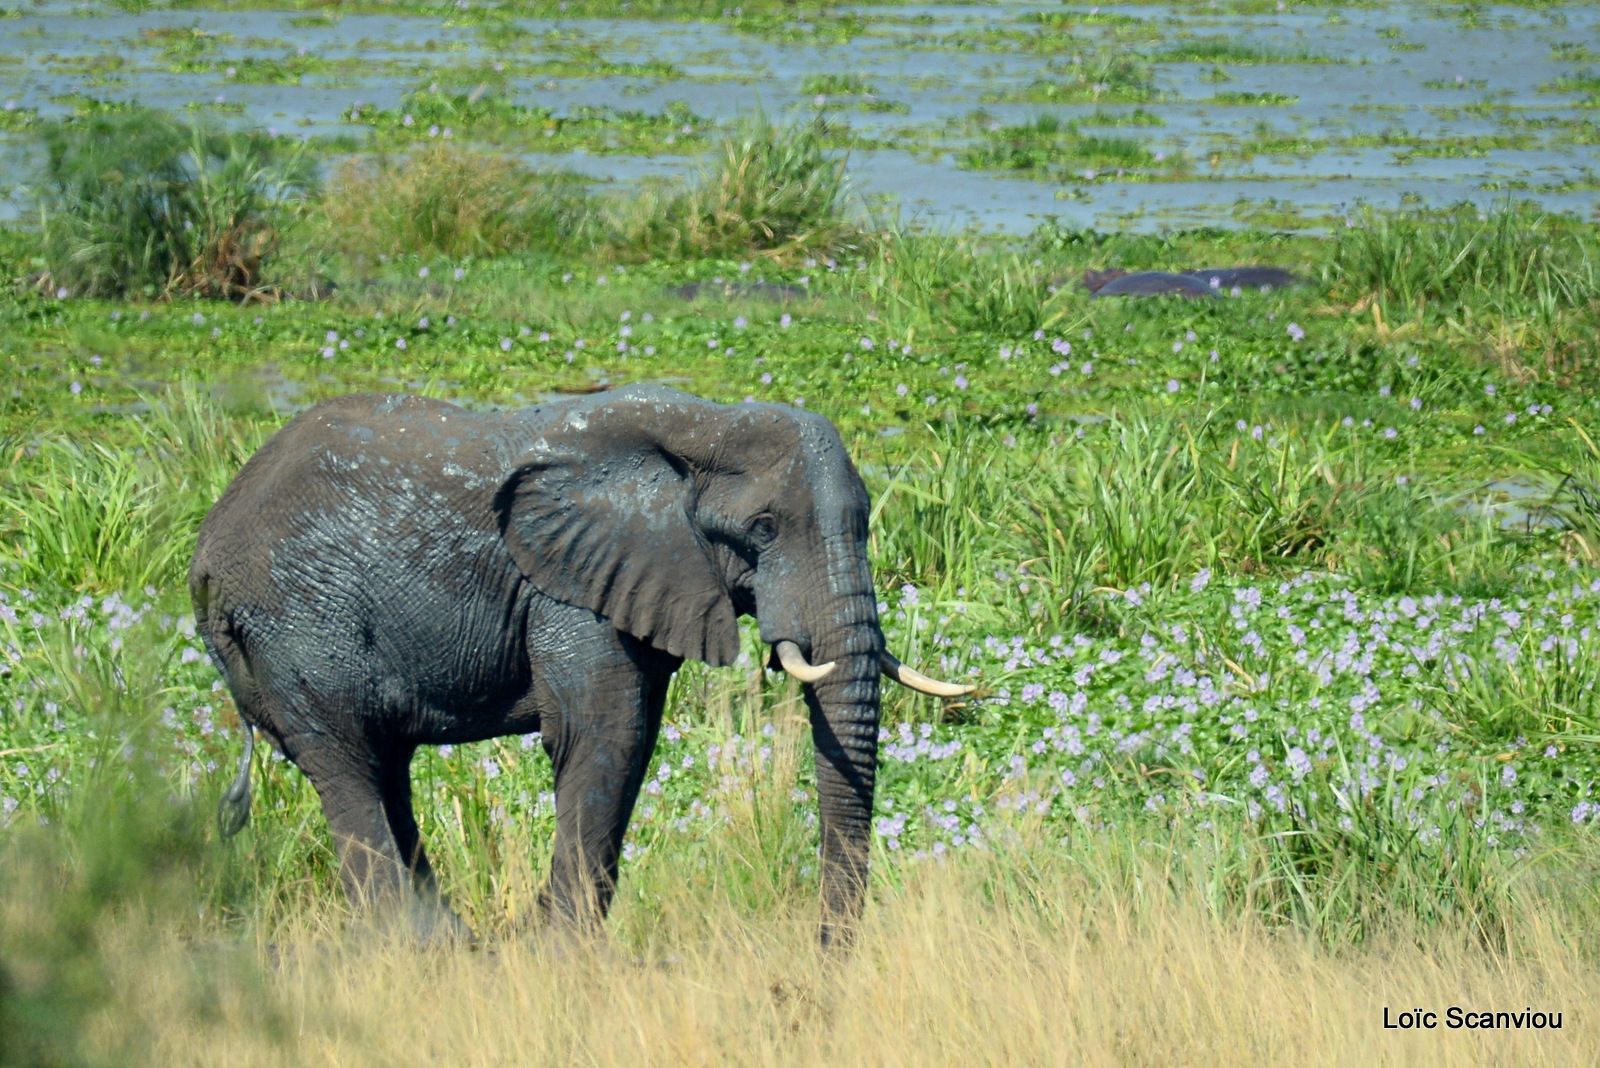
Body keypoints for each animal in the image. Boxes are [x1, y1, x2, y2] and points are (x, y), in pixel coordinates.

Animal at [187, 382, 960, 940]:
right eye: (763, 530)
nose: (818, 965)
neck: (703, 426)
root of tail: (206, 549)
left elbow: (631, 739)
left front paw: (540, 938)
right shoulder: (566, 590)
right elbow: (603, 732)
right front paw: (559, 950)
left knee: (383, 765)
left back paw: (455, 942)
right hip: (297, 627)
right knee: (347, 763)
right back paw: (415, 947)